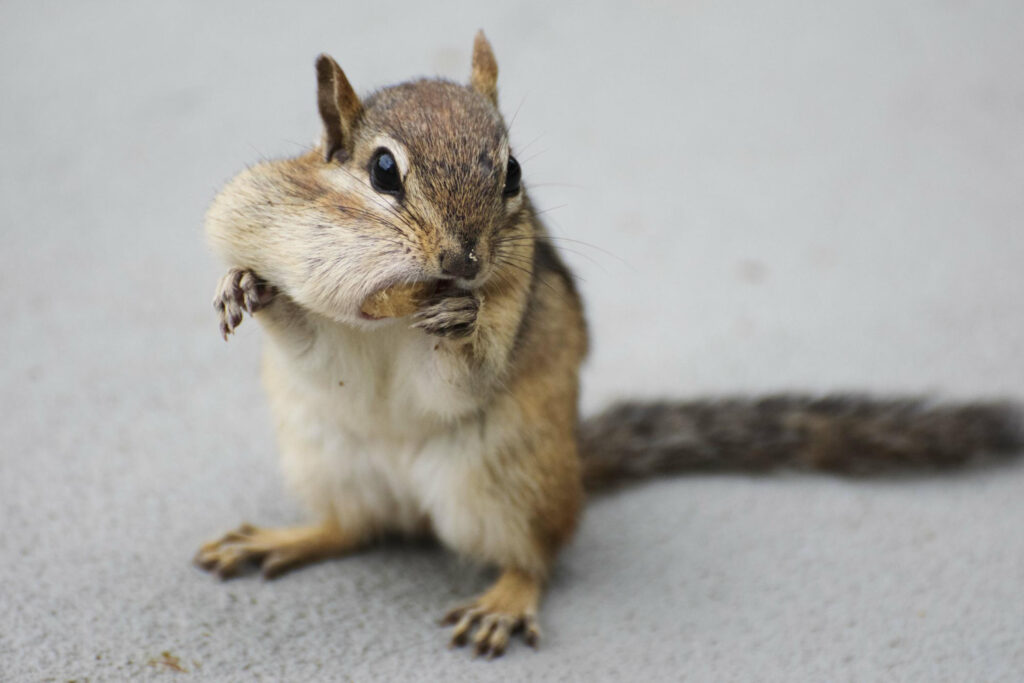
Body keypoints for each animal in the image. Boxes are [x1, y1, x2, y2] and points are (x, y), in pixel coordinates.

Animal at [194, 31, 1023, 657]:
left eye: (513, 172)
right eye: (382, 169)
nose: (463, 262)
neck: (392, 304)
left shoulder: (511, 307)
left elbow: (459, 380)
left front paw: (458, 326)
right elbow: (304, 329)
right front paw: (246, 286)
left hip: (506, 476)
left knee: (537, 551)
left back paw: (506, 595)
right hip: (326, 455)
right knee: (353, 525)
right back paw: (284, 537)